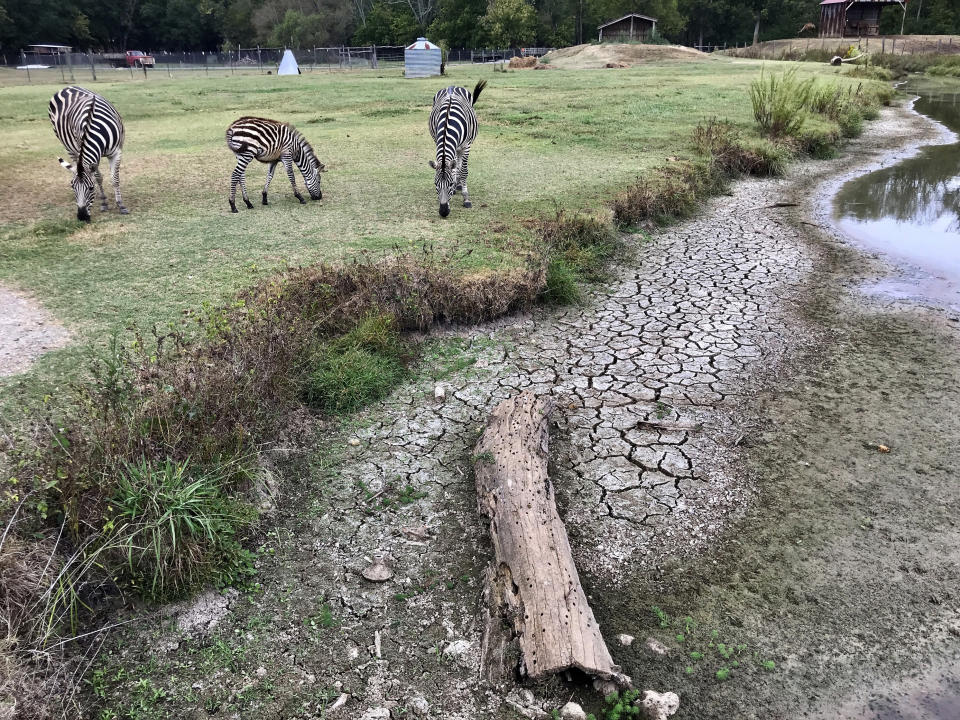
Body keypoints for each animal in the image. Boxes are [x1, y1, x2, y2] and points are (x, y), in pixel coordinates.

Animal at [48, 84, 126, 221]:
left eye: (91, 188)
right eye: (72, 187)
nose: (82, 217)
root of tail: (66, 87)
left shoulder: (117, 152)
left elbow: (115, 179)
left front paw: (121, 205)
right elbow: (98, 177)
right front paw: (104, 202)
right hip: (69, 147)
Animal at [430, 80, 488, 217]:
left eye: (450, 184)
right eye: (435, 184)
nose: (443, 212)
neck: (448, 122)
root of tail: (452, 86)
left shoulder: (466, 146)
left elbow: (464, 171)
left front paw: (466, 198)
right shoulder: (438, 141)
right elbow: (454, 167)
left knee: (459, 165)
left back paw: (460, 185)